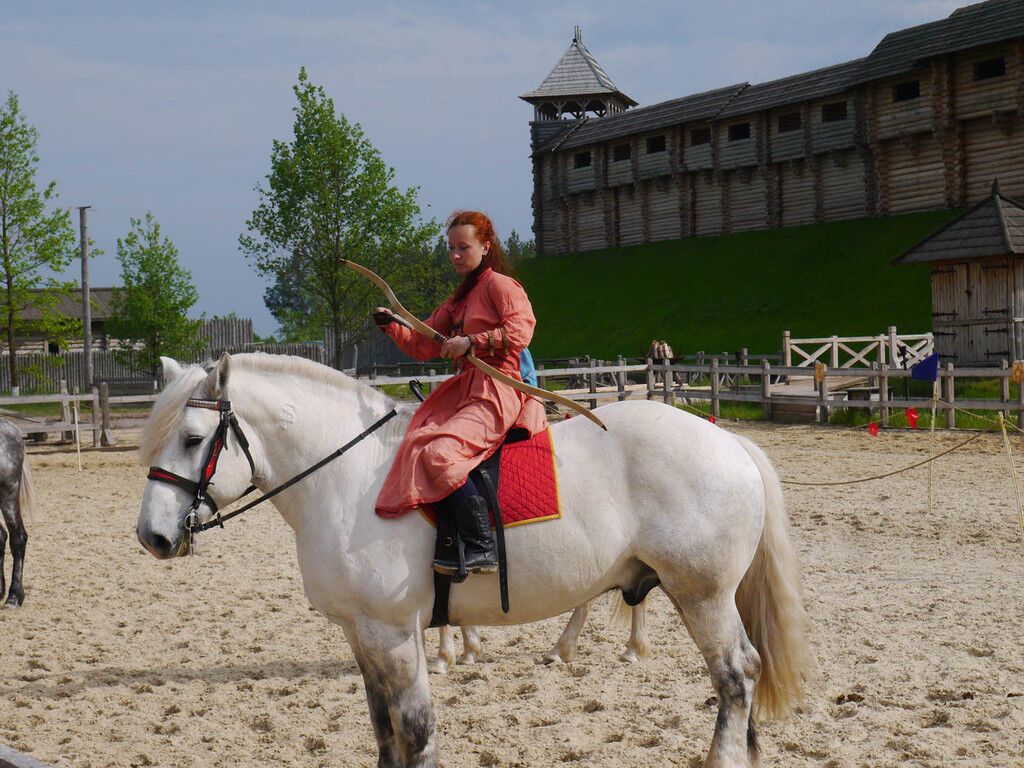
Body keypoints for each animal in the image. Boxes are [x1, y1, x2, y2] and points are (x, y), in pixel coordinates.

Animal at [136, 354, 806, 768]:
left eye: (192, 439)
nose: (153, 537)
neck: (348, 476)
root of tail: (727, 440)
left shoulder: (394, 633)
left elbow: (416, 730)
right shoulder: (362, 635)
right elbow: (384, 730)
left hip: (702, 595)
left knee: (737, 675)